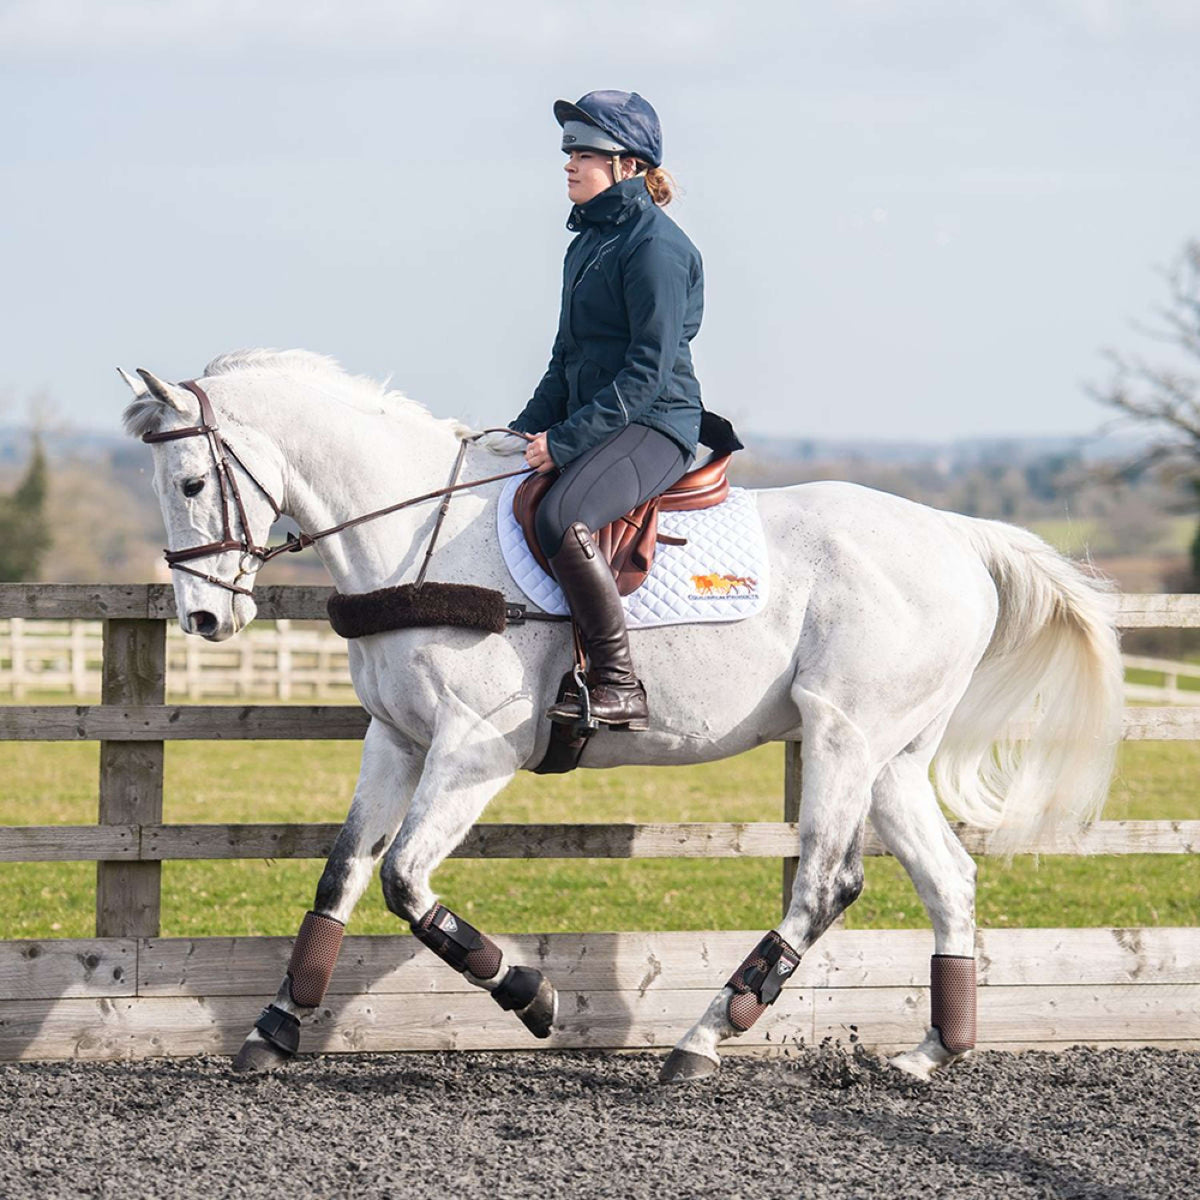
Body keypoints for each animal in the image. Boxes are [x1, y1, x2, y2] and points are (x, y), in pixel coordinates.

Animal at [121, 350, 1123, 1089]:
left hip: (842, 735)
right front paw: (274, 1029)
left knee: (825, 884)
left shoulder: (475, 749)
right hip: (892, 756)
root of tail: (958, 535)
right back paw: (930, 1052)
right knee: (949, 880)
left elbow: (405, 882)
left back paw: (704, 1038)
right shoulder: (396, 742)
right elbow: (341, 876)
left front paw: (532, 997)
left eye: (191, 483)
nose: (202, 619)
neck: (418, 537)